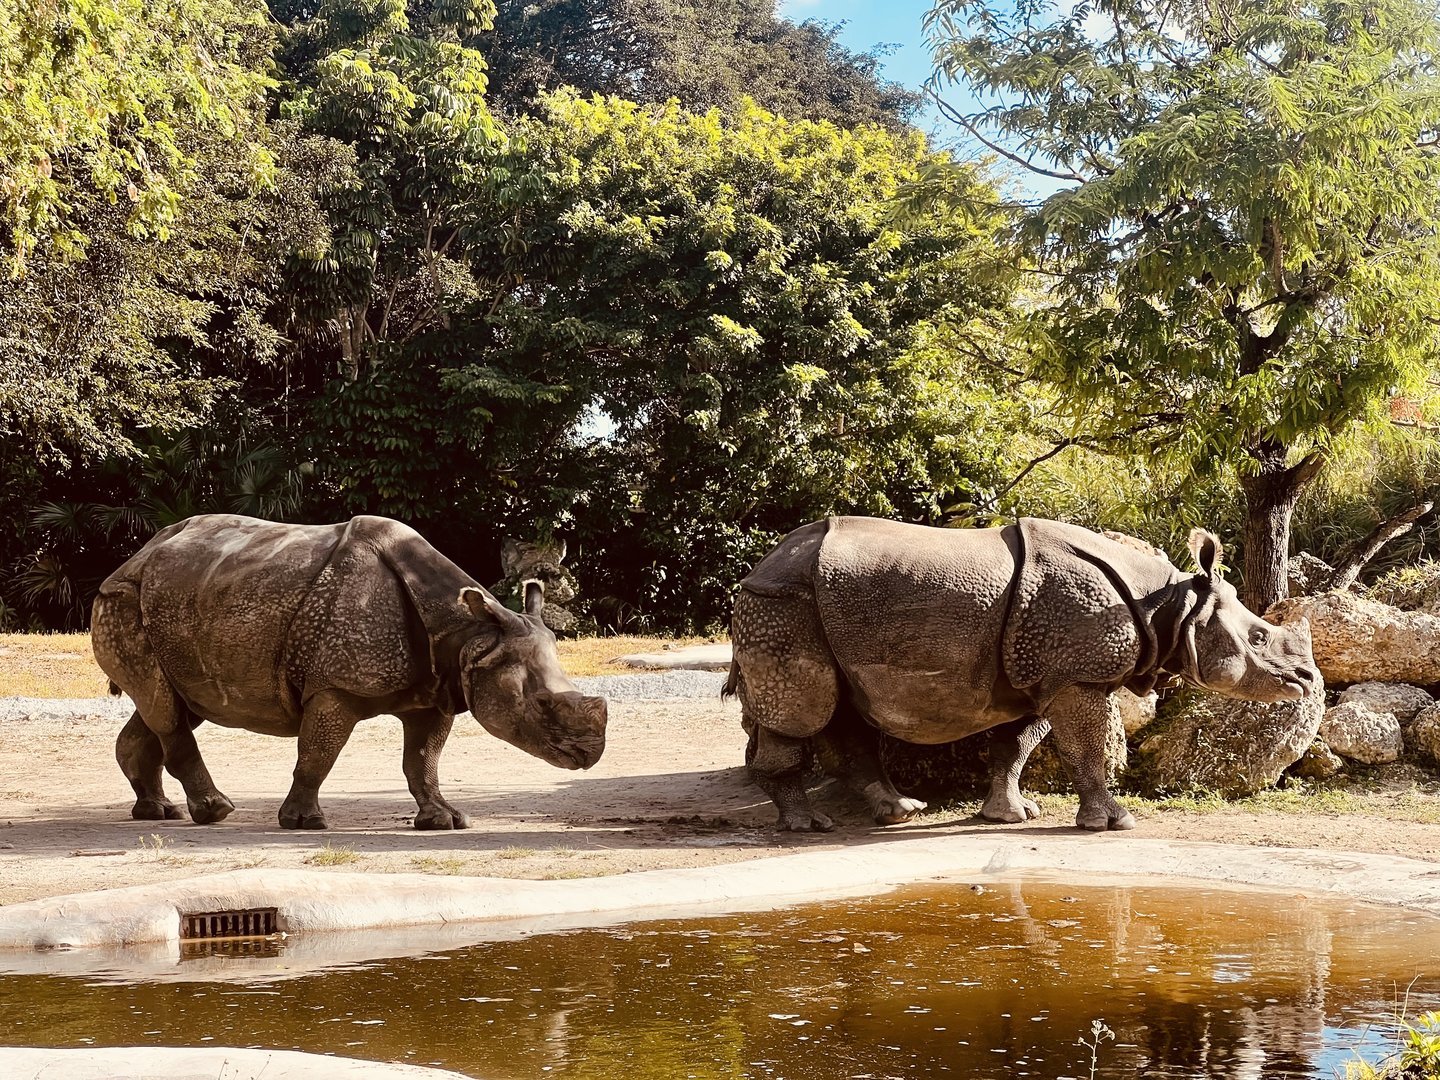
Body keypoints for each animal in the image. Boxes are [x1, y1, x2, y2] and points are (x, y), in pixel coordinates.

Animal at [91, 514, 607, 830]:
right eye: (542, 703)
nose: (590, 755)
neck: (470, 635)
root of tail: (136, 555)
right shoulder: (334, 687)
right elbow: (318, 753)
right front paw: (304, 823)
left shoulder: (436, 690)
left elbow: (423, 761)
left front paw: (444, 820)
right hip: (122, 602)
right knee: (164, 707)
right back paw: (214, 812)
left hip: (179, 604)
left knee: (169, 705)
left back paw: (158, 812)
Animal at [725, 516, 1319, 832]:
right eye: (1259, 638)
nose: (1308, 679)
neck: (1169, 604)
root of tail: (759, 565)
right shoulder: (1078, 675)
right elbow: (1087, 747)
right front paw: (1114, 822)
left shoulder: (1042, 676)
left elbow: (1017, 747)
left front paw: (1012, 816)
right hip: (783, 603)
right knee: (801, 710)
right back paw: (807, 825)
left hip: (818, 607)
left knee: (844, 711)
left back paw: (900, 812)